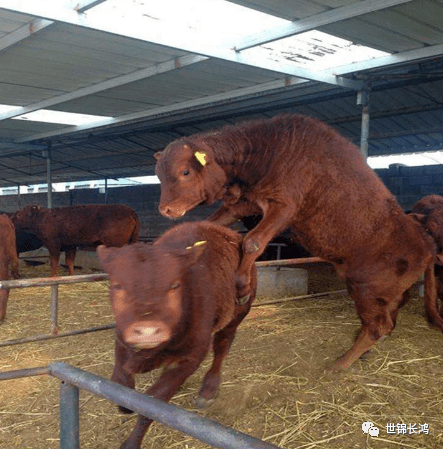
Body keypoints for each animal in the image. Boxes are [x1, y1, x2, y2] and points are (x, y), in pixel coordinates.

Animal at [11, 204, 140, 274]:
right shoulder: (70, 245)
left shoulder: (53, 244)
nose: (11, 219)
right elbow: (69, 261)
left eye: (18, 214)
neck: (43, 218)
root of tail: (130, 210)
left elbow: (54, 262)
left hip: (116, 244)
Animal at [97, 220, 256, 448]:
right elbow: (119, 381)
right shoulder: (122, 341)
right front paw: (124, 404)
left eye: (174, 285)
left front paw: (131, 443)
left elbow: (151, 405)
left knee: (222, 347)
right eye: (117, 285)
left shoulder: (192, 356)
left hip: (236, 315)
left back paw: (209, 388)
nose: (147, 331)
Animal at [156, 113, 443, 372]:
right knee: (388, 320)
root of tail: (425, 242)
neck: (269, 149)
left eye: (185, 171)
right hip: (387, 294)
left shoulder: (284, 206)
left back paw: (339, 364)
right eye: (159, 176)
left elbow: (252, 242)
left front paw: (242, 288)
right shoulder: (244, 204)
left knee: (378, 327)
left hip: (365, 288)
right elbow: (212, 226)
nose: (166, 210)